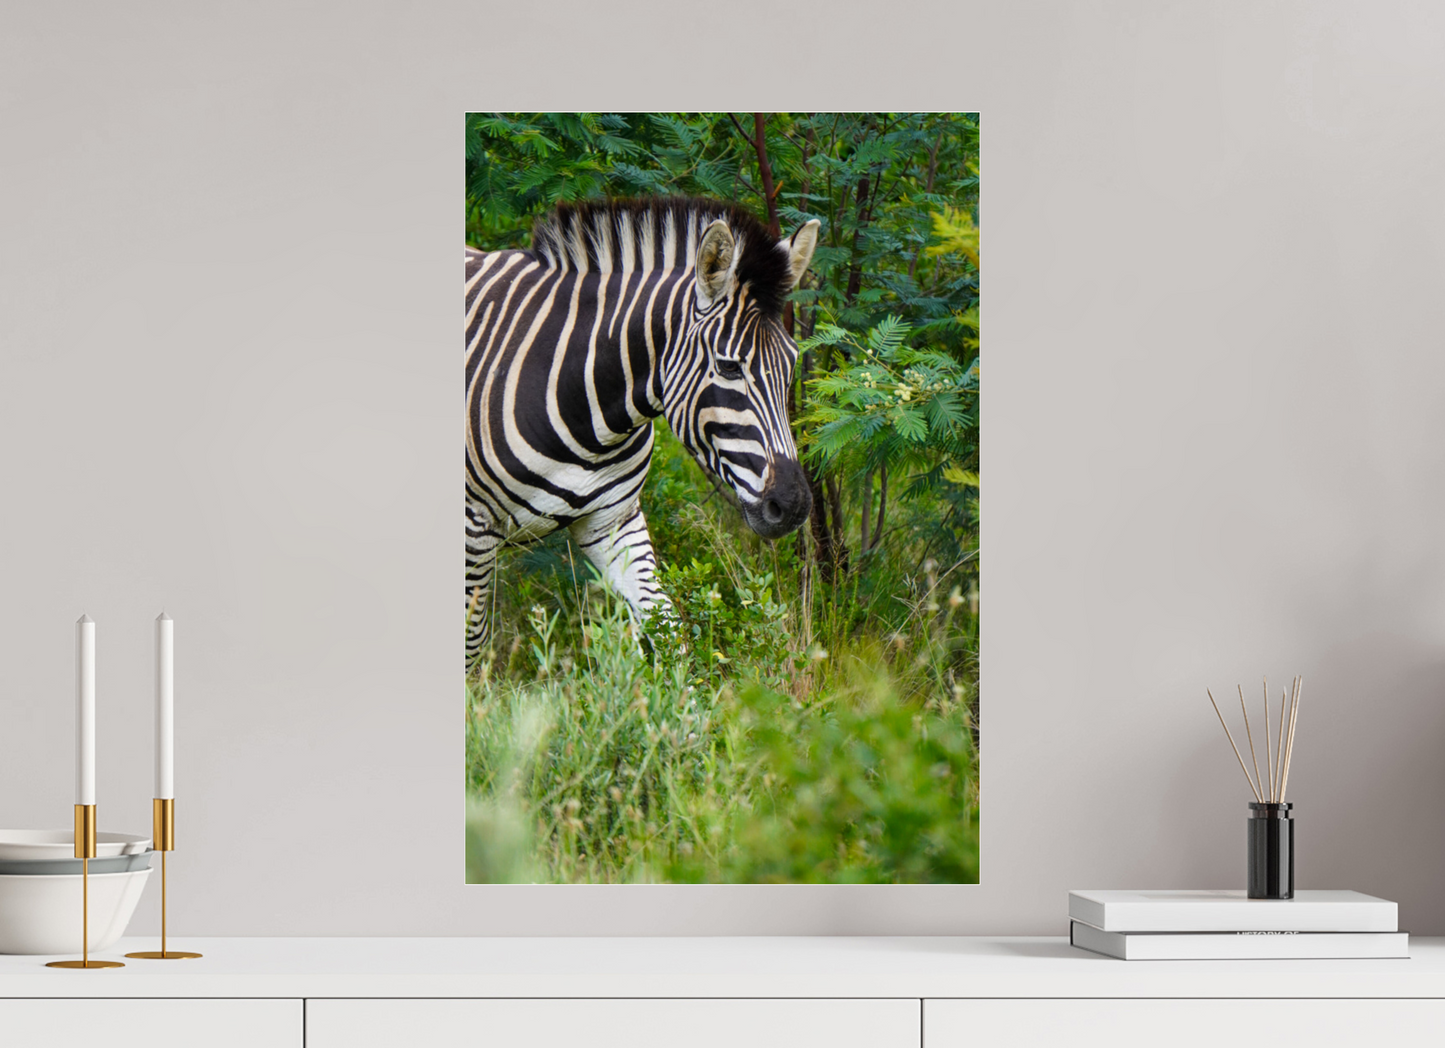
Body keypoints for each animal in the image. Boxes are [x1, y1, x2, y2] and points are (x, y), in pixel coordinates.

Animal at [465, 196, 820, 669]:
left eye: (792, 364)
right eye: (728, 367)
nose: (794, 506)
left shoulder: (611, 522)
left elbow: (669, 630)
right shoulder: (474, 529)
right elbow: (471, 647)